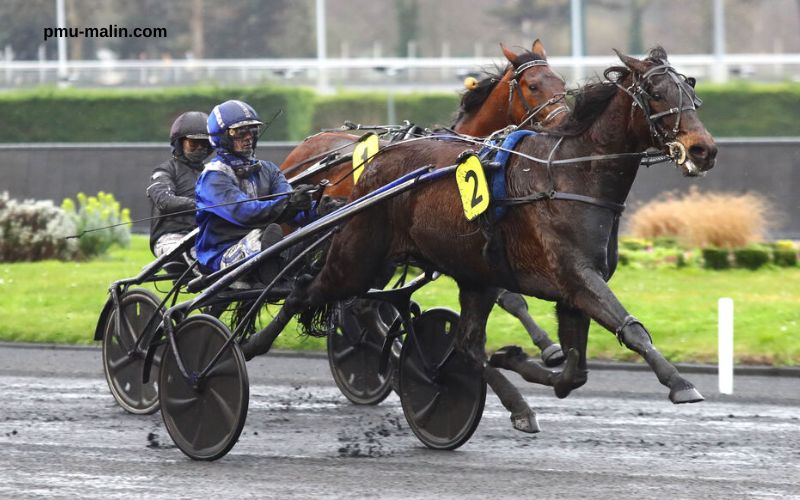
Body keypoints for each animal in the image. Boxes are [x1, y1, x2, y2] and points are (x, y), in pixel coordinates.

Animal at [280, 39, 568, 364]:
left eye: (561, 82)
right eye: (533, 85)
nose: (565, 119)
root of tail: (301, 150)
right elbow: (508, 296)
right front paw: (548, 346)